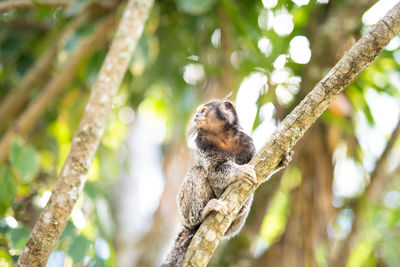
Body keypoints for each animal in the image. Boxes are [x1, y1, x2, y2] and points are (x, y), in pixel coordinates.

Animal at [161, 99, 292, 266]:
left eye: (203, 111)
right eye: (198, 112)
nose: (196, 116)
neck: (222, 136)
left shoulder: (247, 142)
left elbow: (262, 168)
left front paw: (282, 161)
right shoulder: (202, 145)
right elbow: (215, 171)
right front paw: (239, 171)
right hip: (184, 213)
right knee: (198, 172)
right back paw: (202, 214)